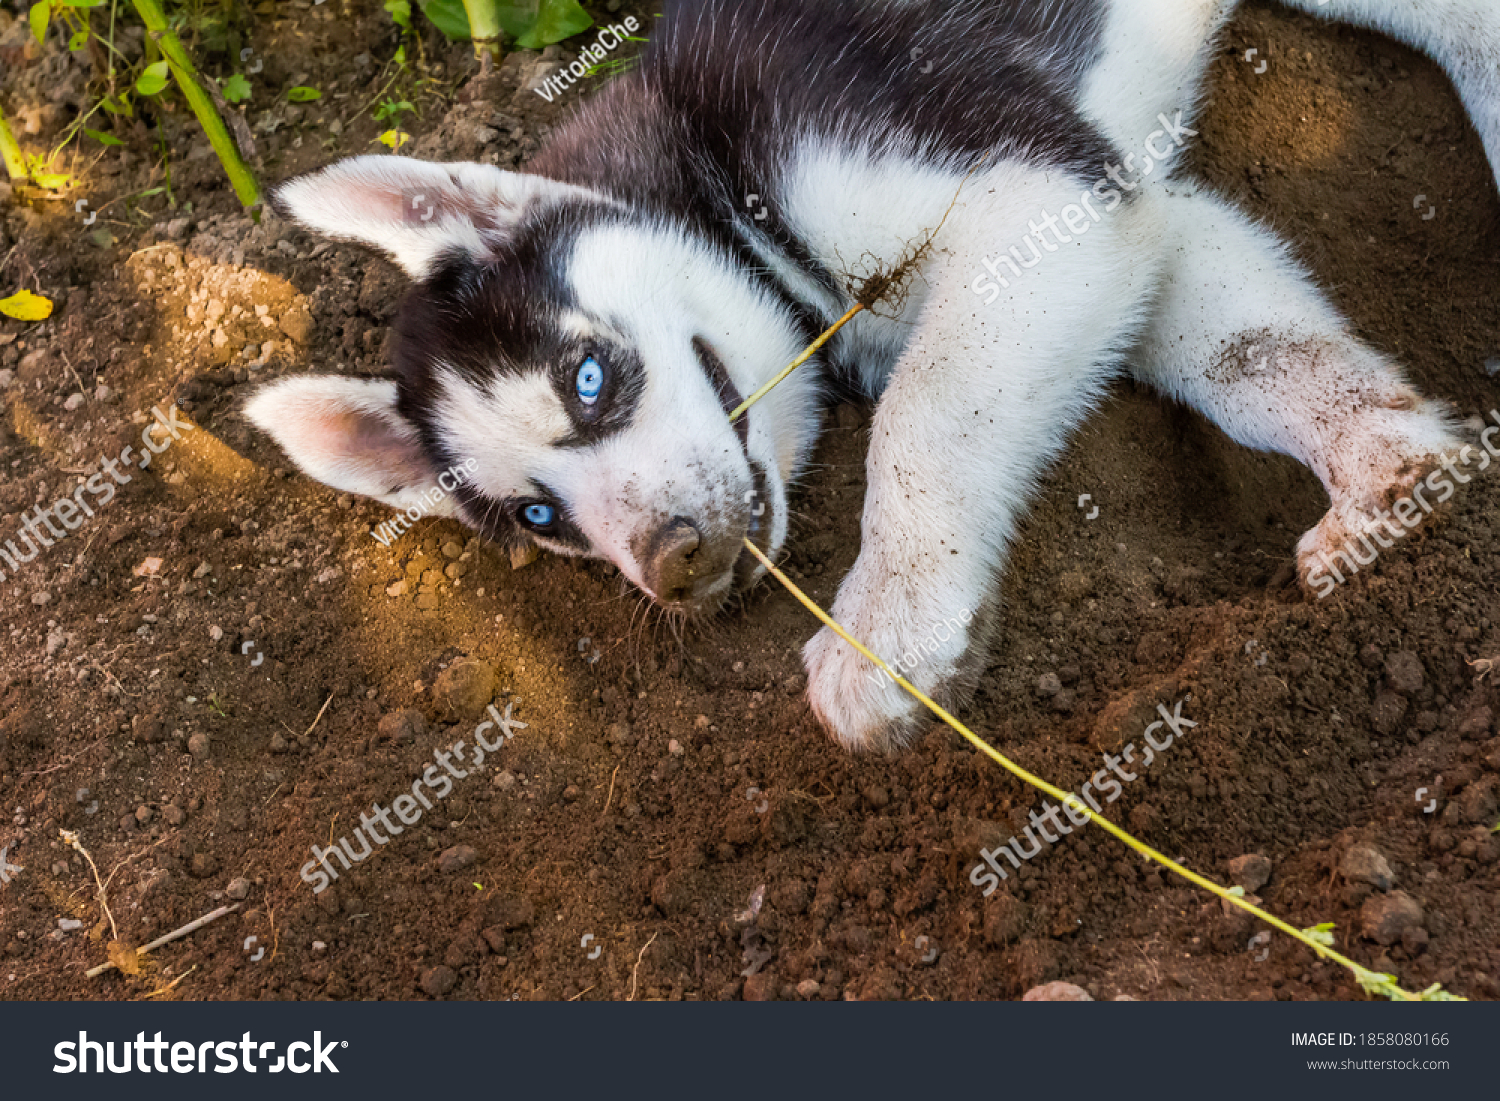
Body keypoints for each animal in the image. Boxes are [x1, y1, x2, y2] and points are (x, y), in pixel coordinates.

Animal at [249, 0, 1500, 750]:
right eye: (539, 519)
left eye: (588, 378)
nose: (673, 567)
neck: (712, 172)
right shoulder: (1121, 219)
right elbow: (1254, 353)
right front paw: (1384, 471)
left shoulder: (1036, 195)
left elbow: (922, 421)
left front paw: (888, 628)